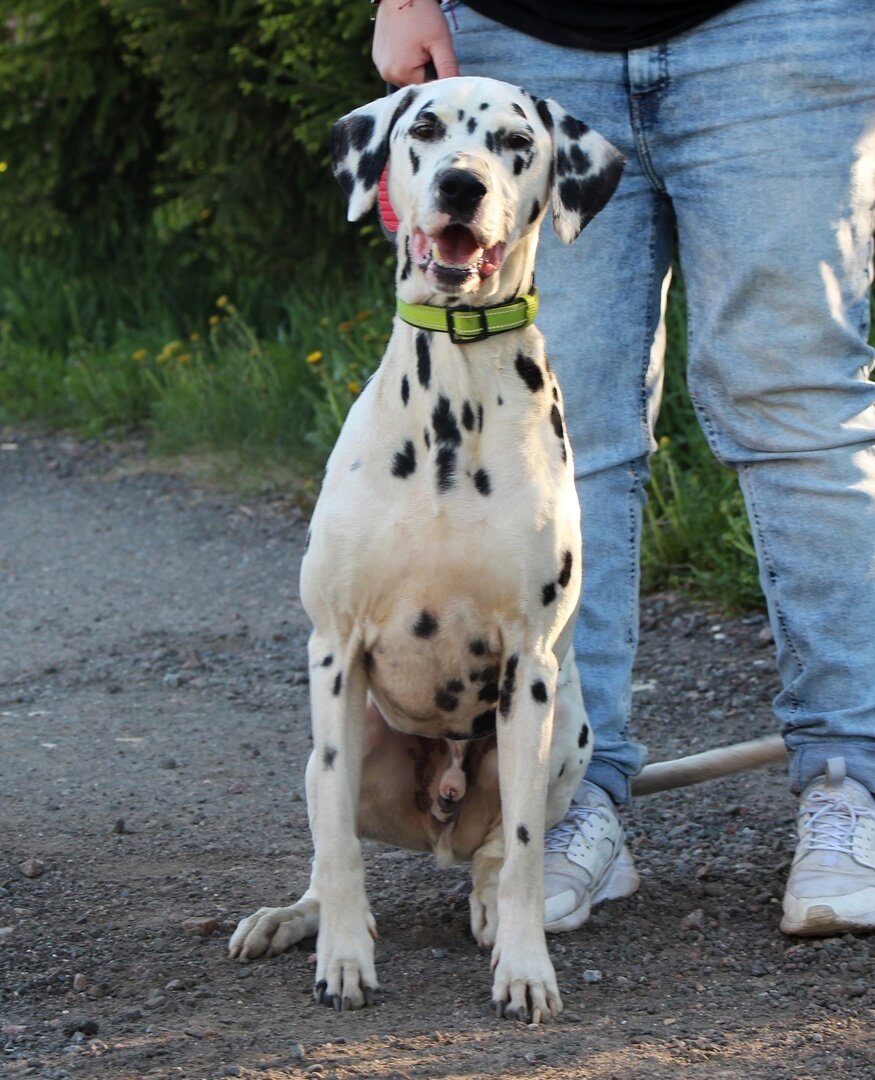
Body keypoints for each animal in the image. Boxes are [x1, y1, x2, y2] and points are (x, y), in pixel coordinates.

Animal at [227, 76, 617, 1019]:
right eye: (427, 128)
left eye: (517, 142)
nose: (460, 186)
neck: (455, 398)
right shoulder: (333, 652)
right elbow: (338, 850)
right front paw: (341, 958)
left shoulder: (529, 666)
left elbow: (521, 849)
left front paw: (525, 967)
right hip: (329, 750)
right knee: (327, 841)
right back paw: (290, 918)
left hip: (566, 733)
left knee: (495, 853)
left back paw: (487, 906)